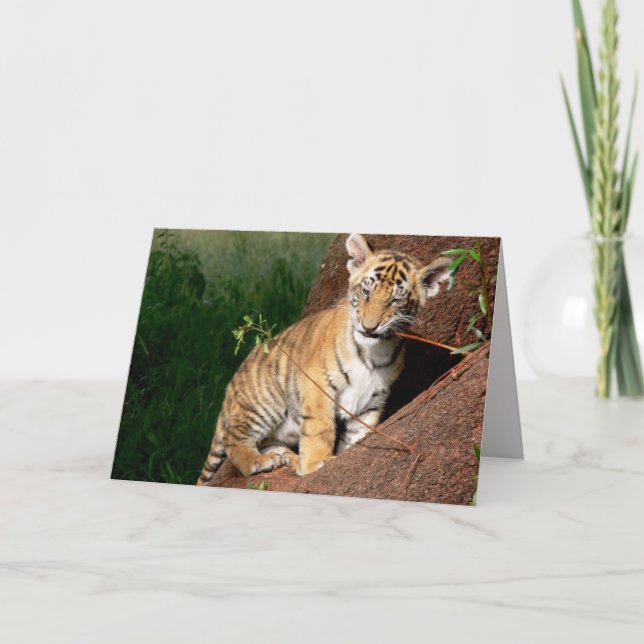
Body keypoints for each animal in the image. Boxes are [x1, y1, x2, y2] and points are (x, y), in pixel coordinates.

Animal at [197, 233, 452, 484]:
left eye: (396, 300)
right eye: (366, 292)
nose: (369, 327)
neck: (375, 350)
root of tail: (231, 387)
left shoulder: (372, 401)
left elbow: (357, 435)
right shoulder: (317, 384)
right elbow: (320, 428)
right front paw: (316, 464)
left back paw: (284, 457)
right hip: (266, 402)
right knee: (233, 439)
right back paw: (259, 462)